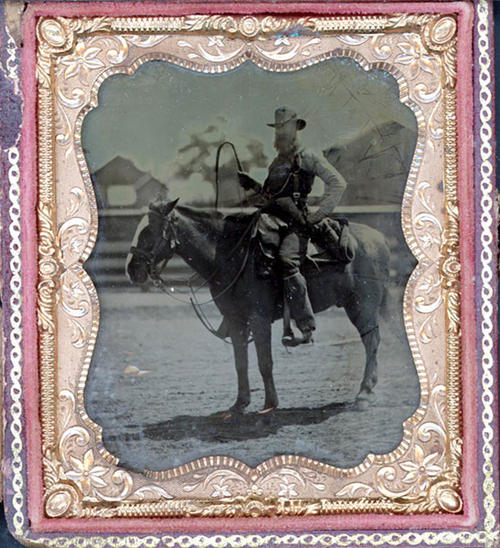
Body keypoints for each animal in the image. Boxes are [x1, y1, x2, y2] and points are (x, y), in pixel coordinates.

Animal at [126, 200, 390, 412]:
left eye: (148, 231)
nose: (131, 270)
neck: (231, 255)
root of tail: (379, 238)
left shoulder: (259, 319)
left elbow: (265, 362)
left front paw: (270, 403)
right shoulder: (236, 320)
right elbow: (240, 362)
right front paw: (240, 403)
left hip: (363, 307)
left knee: (372, 342)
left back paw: (364, 395)